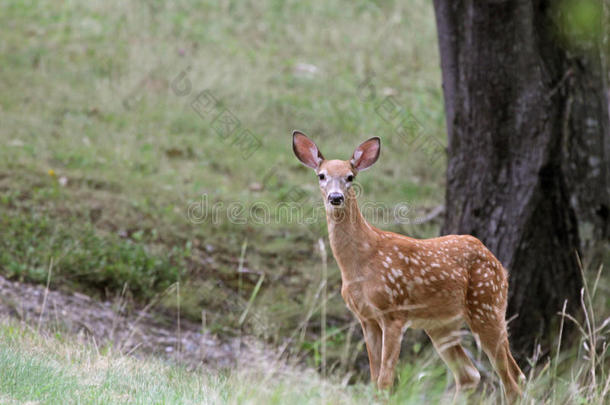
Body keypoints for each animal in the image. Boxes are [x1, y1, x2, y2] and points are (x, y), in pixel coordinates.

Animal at [290, 130, 524, 400]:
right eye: (321, 175)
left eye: (350, 176)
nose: (335, 197)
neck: (359, 264)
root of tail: (500, 267)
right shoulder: (366, 318)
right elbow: (374, 378)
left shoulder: (394, 311)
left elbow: (385, 380)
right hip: (441, 324)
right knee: (472, 375)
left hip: (486, 305)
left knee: (512, 381)